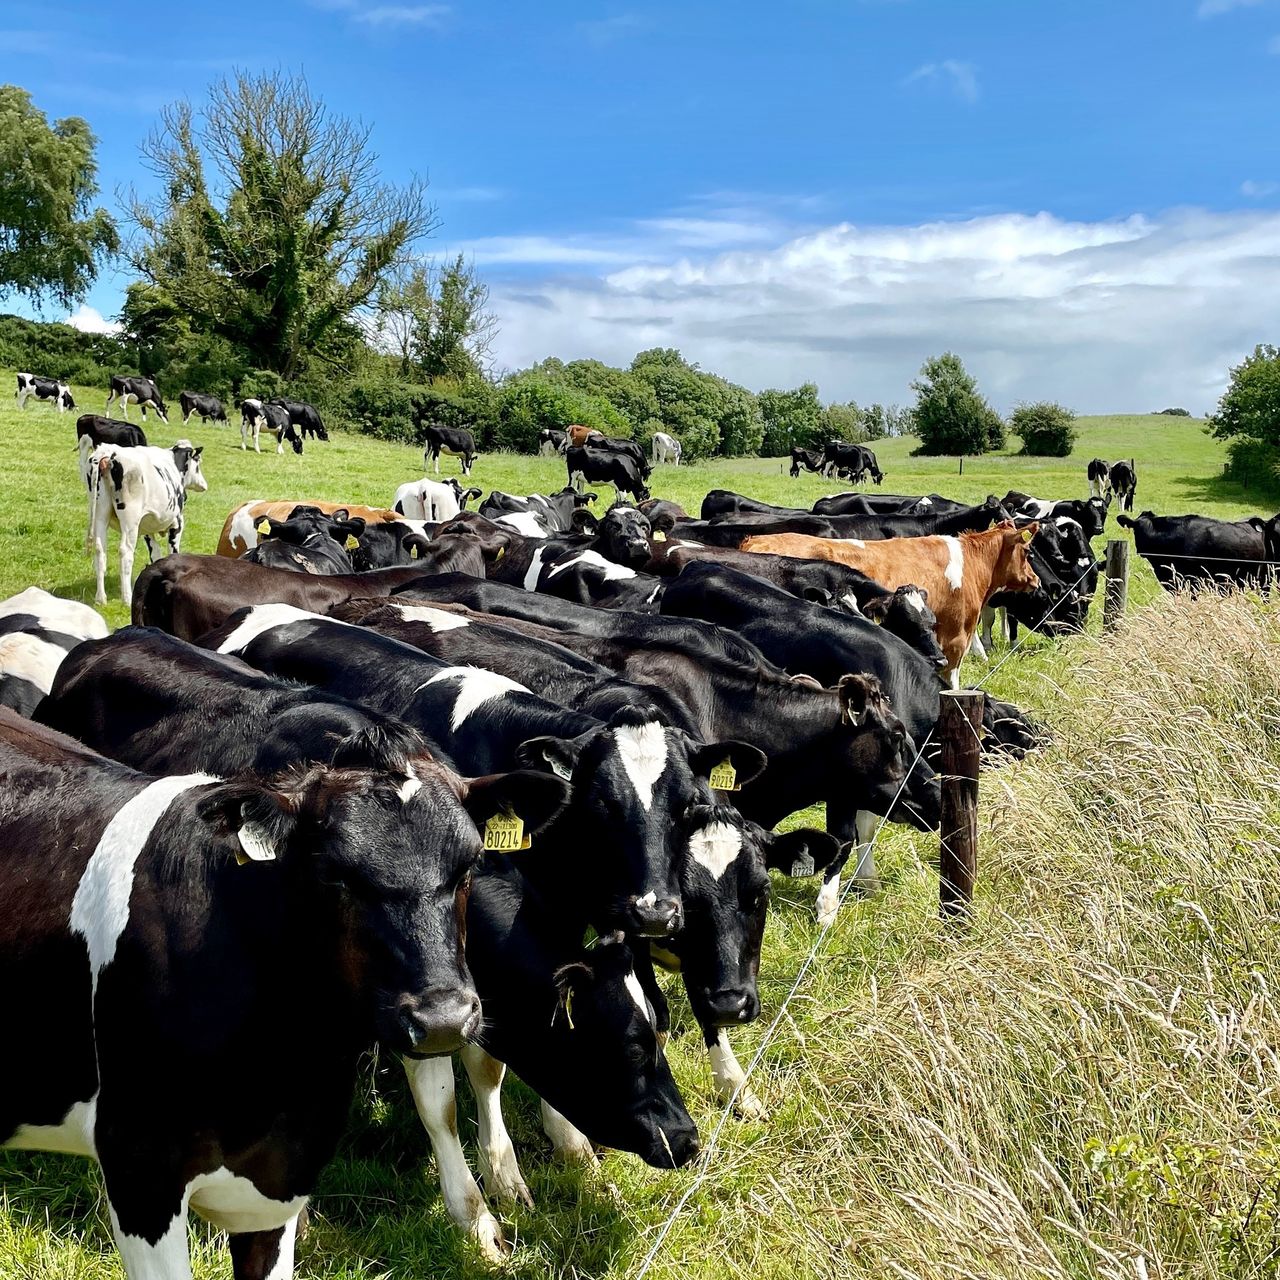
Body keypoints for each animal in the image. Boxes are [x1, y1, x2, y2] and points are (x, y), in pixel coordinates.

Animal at [86, 442, 208, 606]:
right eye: (198, 463)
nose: (204, 485)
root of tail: (109, 451)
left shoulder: (146, 529)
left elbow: (155, 554)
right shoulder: (177, 523)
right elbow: (173, 552)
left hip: (100, 513)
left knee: (100, 550)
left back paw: (101, 598)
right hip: (130, 520)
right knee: (125, 552)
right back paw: (127, 598)